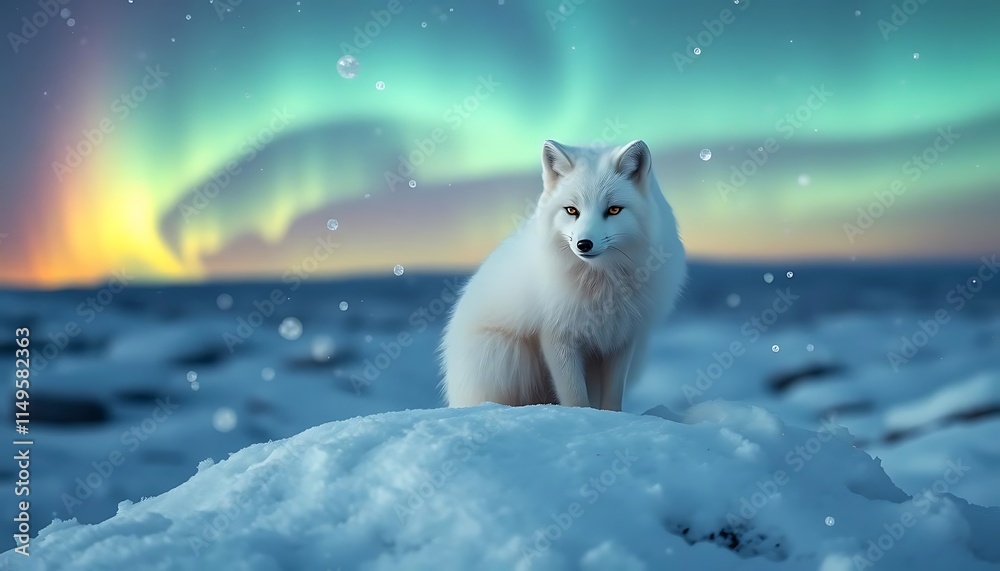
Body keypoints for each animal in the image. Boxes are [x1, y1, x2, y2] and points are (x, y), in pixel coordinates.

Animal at [440, 139, 686, 411]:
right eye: (571, 210)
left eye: (613, 210)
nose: (584, 244)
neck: (601, 283)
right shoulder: (557, 335)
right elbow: (574, 397)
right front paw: (580, 417)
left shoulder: (621, 338)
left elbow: (612, 398)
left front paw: (613, 417)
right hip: (505, 358)